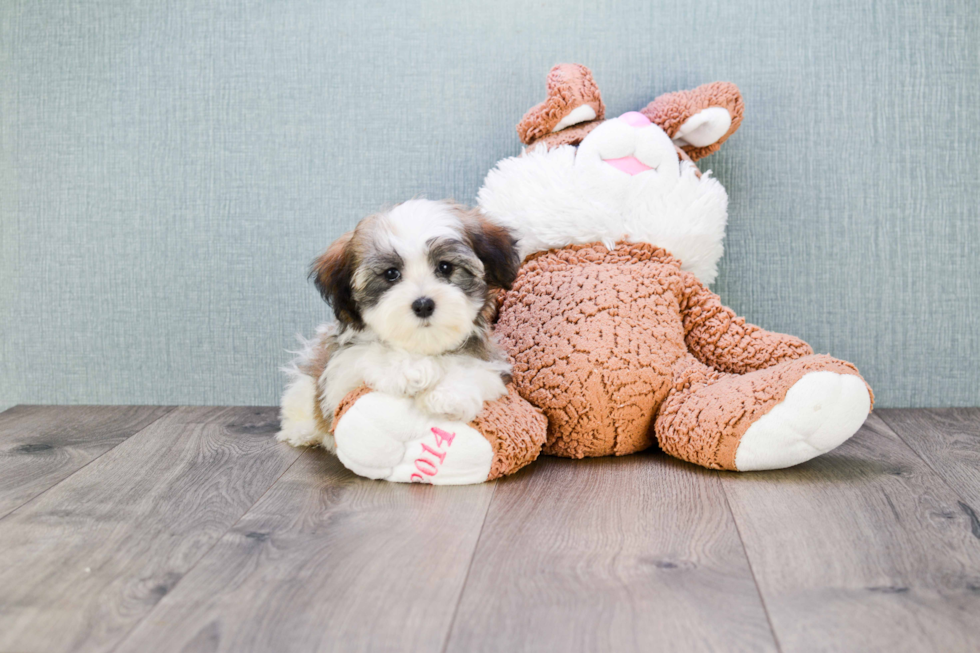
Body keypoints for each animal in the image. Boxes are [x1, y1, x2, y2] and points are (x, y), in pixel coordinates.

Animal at [276, 200, 520, 454]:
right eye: (391, 274)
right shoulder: (339, 381)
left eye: (445, 267)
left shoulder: (492, 361)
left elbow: (472, 366)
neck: (421, 347)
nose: (423, 304)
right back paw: (301, 432)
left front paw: (448, 396)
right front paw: (411, 370)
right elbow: (369, 353)